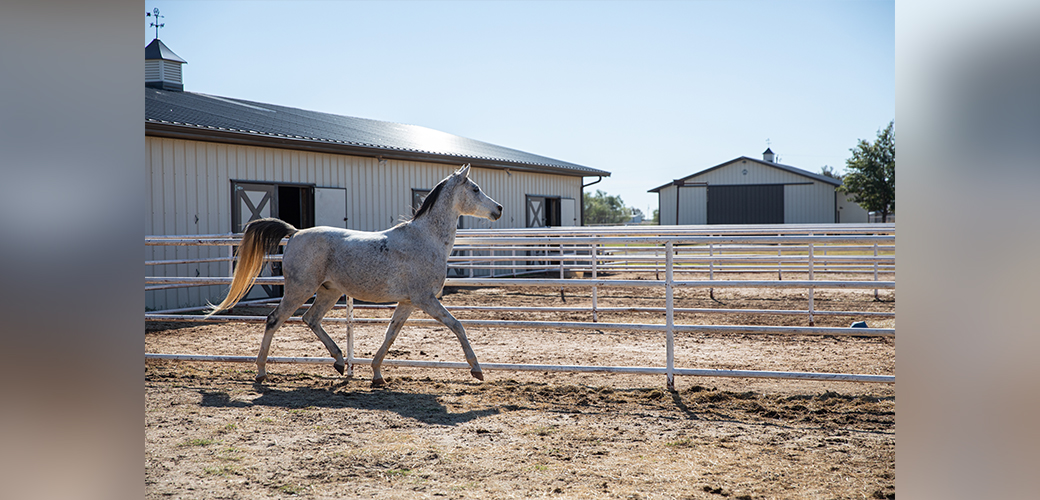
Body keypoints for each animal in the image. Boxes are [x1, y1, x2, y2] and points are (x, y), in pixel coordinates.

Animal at [204, 164, 501, 386]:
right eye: (475, 189)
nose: (498, 209)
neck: (425, 239)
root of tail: (295, 233)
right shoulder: (425, 299)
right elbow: (457, 326)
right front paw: (477, 369)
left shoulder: (407, 302)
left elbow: (390, 335)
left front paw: (377, 375)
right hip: (299, 290)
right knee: (273, 320)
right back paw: (261, 371)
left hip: (329, 291)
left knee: (310, 319)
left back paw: (338, 362)